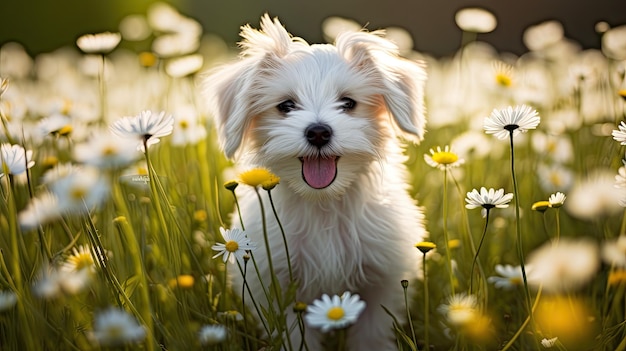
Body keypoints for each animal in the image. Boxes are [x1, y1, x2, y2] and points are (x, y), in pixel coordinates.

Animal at [202, 14, 426, 351]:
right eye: (286, 106)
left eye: (348, 103)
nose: (318, 132)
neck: (323, 205)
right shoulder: (275, 283)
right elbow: (293, 335)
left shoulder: (382, 279)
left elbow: (372, 333)